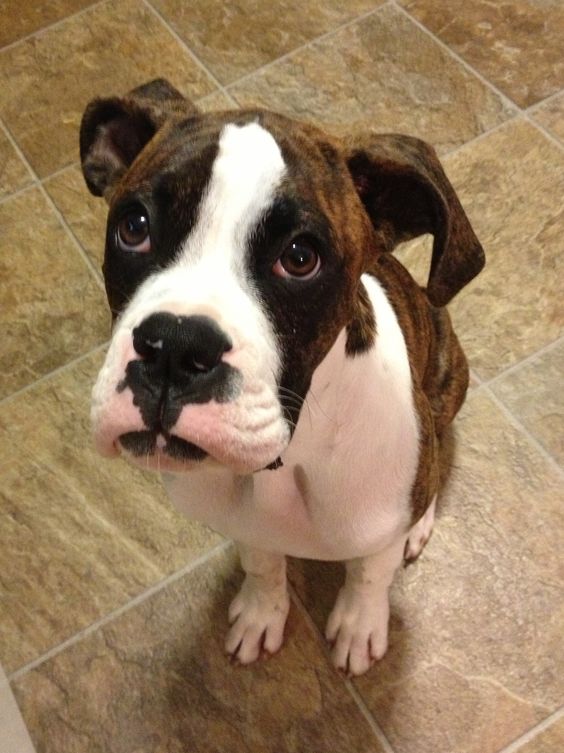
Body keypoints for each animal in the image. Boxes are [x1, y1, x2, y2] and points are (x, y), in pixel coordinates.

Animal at [79, 78, 484, 676]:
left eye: (299, 257)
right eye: (134, 227)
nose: (174, 347)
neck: (288, 462)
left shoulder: (380, 521)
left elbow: (370, 573)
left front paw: (360, 623)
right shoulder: (246, 526)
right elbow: (263, 563)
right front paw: (261, 610)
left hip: (448, 380)